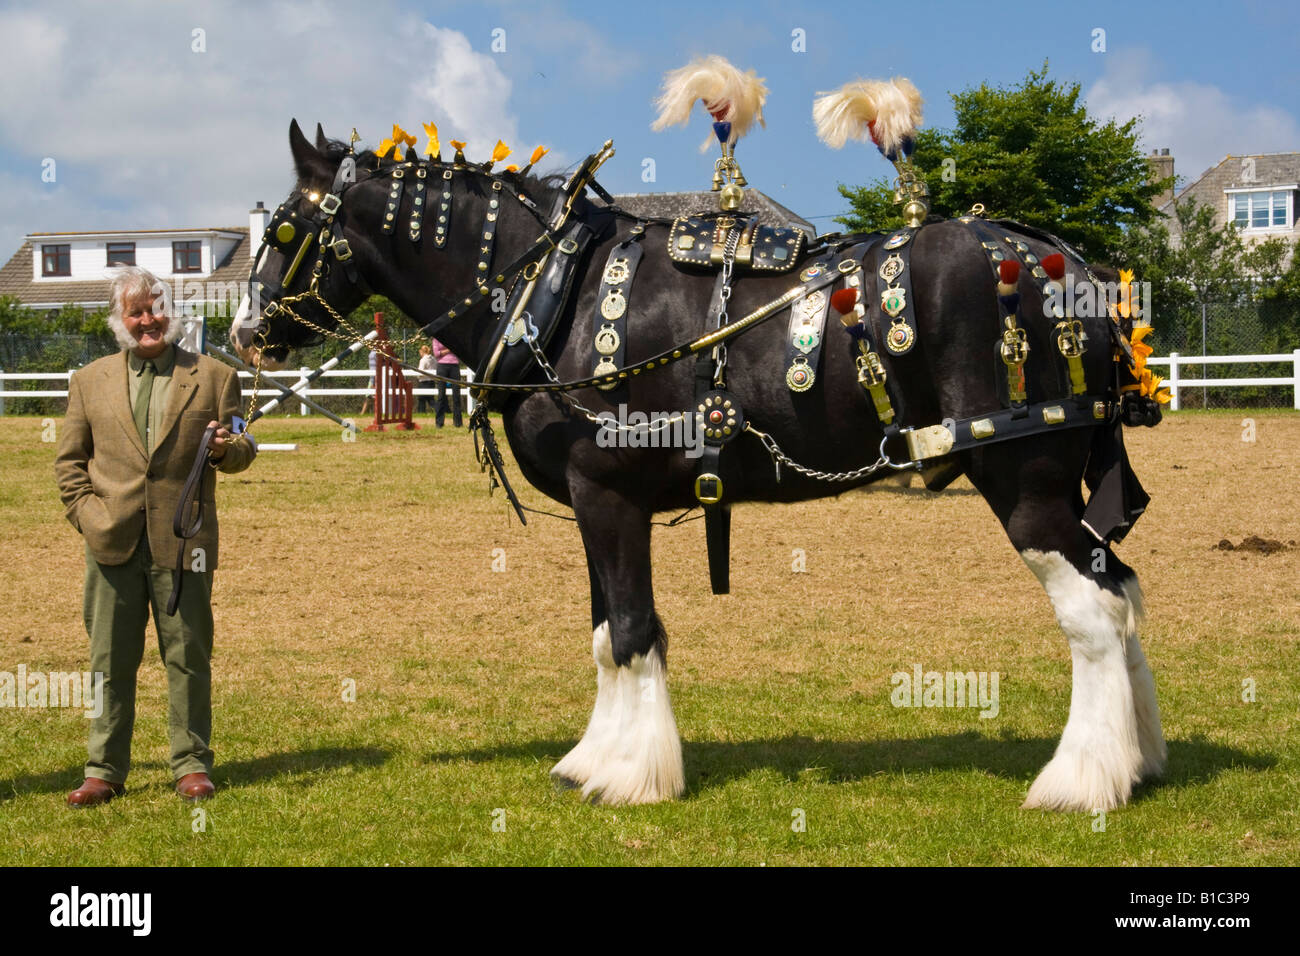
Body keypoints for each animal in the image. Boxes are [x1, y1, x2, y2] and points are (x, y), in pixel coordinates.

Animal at [230, 118, 1166, 812]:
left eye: (283, 229)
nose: (242, 334)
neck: (554, 293)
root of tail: (1072, 271)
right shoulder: (595, 503)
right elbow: (607, 635)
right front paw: (594, 757)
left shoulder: (608, 493)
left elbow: (633, 631)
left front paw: (631, 775)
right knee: (1120, 591)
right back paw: (1140, 761)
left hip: (1022, 478)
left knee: (1092, 612)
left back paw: (1081, 780)